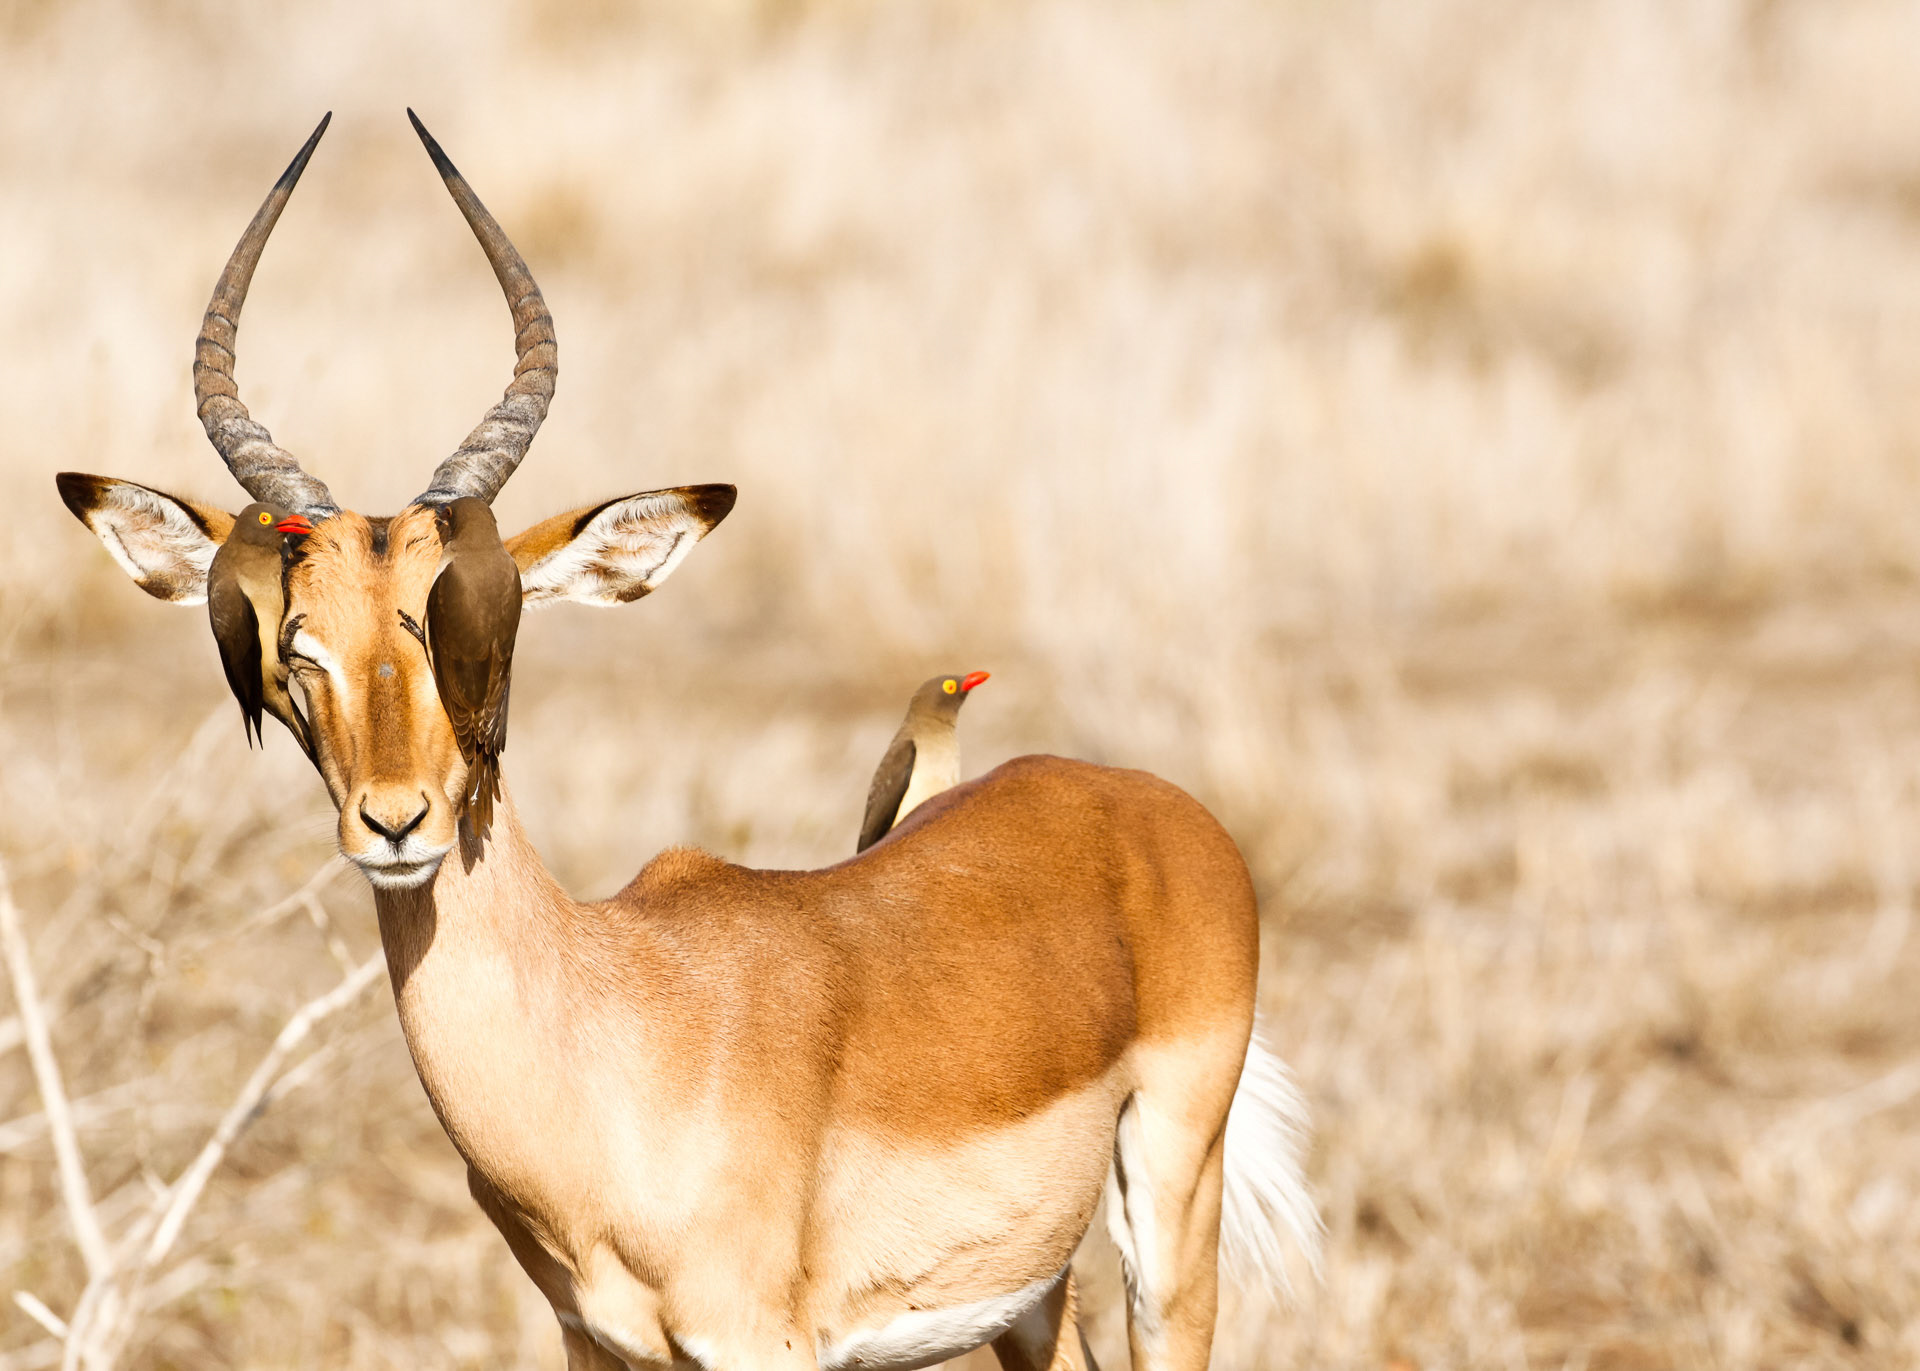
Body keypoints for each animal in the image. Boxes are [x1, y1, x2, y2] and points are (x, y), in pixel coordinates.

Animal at [56, 114, 1320, 1371]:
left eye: (479, 624)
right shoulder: (593, 1342)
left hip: (1169, 1218)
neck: (615, 1036)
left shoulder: (760, 1345)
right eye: (293, 648)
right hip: (1029, 1295)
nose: (395, 823)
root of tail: (1139, 800)